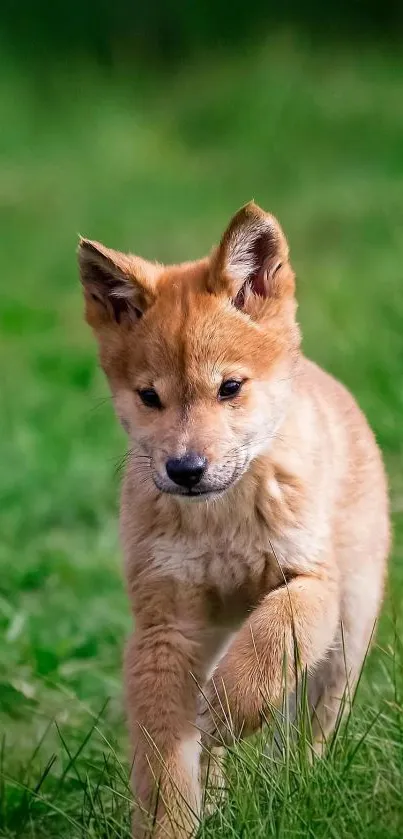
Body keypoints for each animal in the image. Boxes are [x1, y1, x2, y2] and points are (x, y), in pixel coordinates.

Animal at [79, 200, 392, 836]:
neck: (219, 524)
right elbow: (165, 763)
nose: (185, 469)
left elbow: (270, 645)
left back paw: (297, 785)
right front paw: (171, 825)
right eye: (149, 397)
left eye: (229, 387)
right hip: (215, 635)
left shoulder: (311, 581)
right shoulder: (165, 627)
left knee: (308, 733)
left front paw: (228, 710)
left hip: (346, 638)